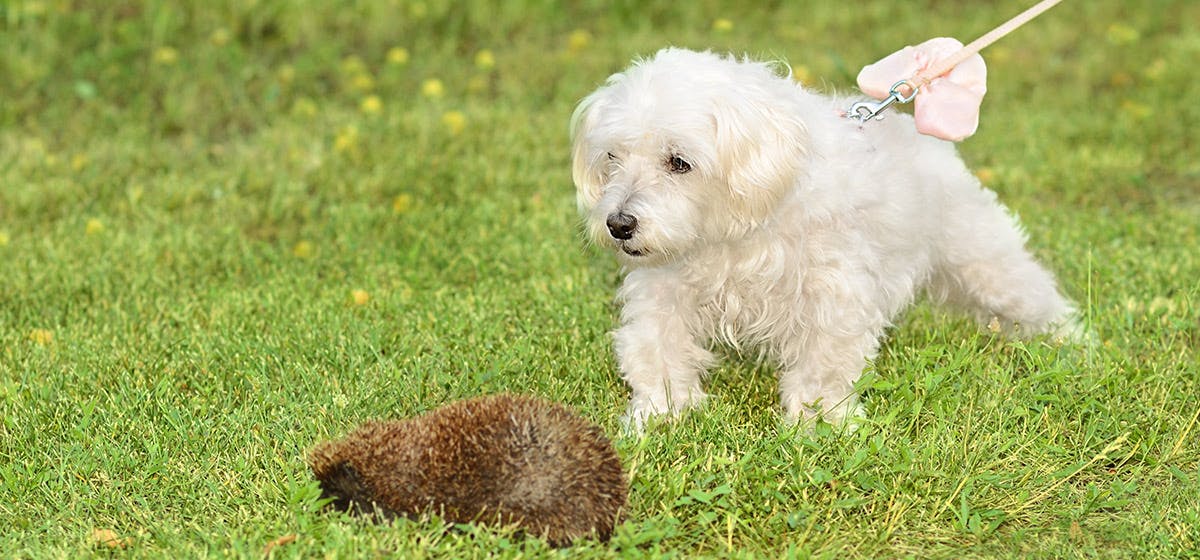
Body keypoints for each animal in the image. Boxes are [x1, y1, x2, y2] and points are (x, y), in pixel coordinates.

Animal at [571, 48, 1080, 431]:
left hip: (988, 263)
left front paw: (819, 425)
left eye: (679, 162)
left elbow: (823, 367)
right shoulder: (663, 288)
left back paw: (1075, 346)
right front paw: (658, 416)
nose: (618, 224)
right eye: (613, 157)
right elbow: (655, 351)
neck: (736, 229)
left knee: (1040, 299)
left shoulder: (833, 296)